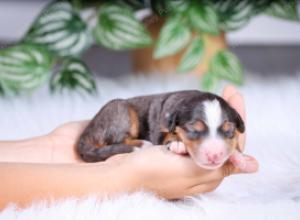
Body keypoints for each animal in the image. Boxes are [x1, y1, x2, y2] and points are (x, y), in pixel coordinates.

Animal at [76, 90, 245, 169]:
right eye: (193, 129)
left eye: (229, 131)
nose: (215, 155)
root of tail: (86, 133)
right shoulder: (160, 130)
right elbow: (169, 136)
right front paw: (178, 144)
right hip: (120, 110)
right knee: (118, 140)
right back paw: (142, 143)